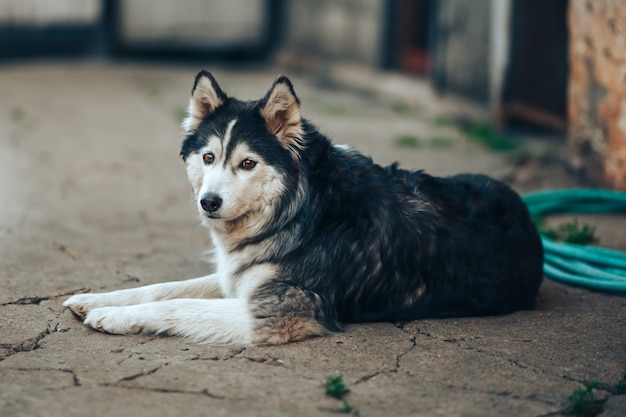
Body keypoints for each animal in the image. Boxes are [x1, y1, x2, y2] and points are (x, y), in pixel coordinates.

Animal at [63, 70, 540, 344]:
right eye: (209, 157)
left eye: (248, 163)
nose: (208, 202)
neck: (301, 212)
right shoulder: (238, 278)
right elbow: (163, 288)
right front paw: (97, 298)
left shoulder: (279, 311)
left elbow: (177, 305)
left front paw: (112, 316)